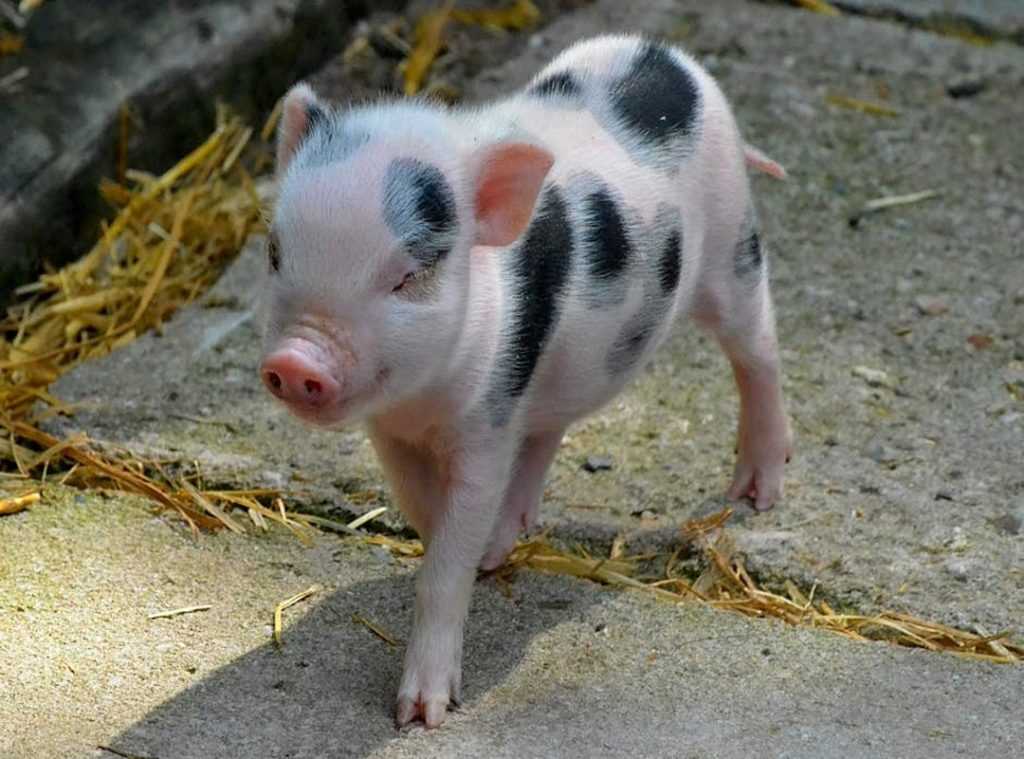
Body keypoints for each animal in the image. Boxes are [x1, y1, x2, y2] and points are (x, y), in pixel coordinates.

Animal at [260, 34, 792, 728]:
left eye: (408, 275)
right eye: (275, 253)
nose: (296, 361)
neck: (422, 400)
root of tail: (665, 54)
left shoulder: (487, 422)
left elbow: (446, 559)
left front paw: (420, 716)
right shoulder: (395, 430)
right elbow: (421, 508)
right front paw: (480, 550)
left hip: (733, 244)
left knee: (759, 350)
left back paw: (756, 494)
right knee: (548, 428)